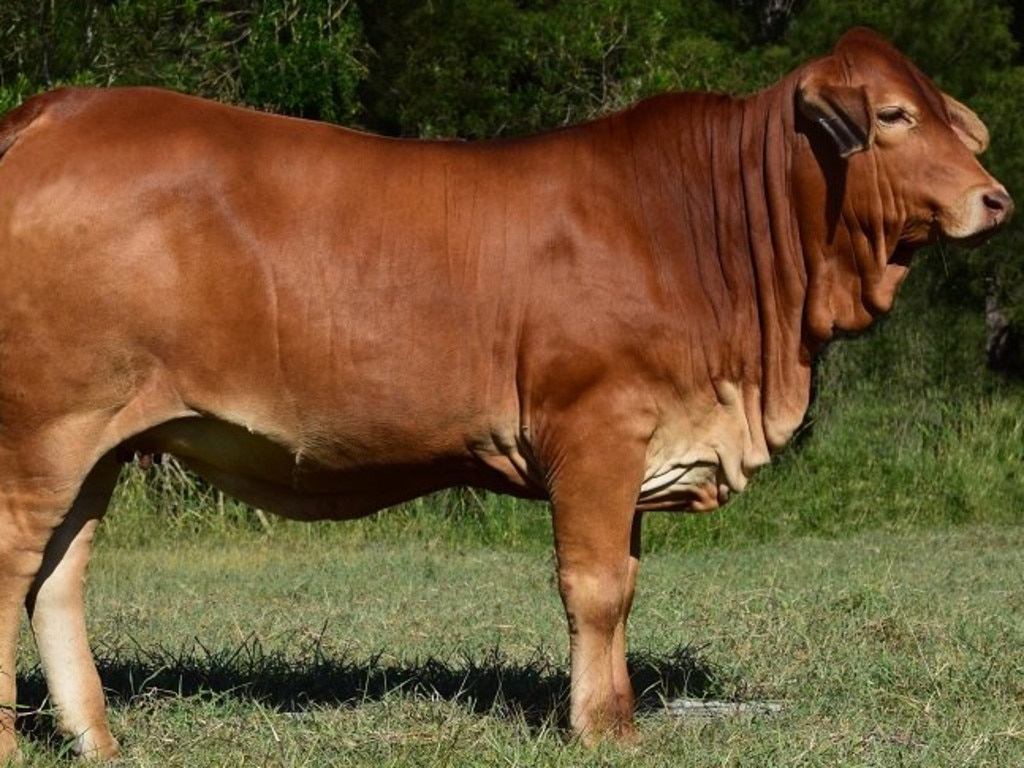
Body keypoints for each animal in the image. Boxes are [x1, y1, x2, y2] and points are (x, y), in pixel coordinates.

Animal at [0, 28, 1011, 757]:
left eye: (954, 122)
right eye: (893, 114)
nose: (996, 198)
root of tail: (56, 111)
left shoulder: (636, 451)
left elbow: (626, 584)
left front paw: (620, 720)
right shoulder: (597, 430)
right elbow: (596, 587)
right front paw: (595, 729)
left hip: (97, 440)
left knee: (58, 579)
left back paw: (98, 741)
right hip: (43, 429)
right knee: (20, 566)